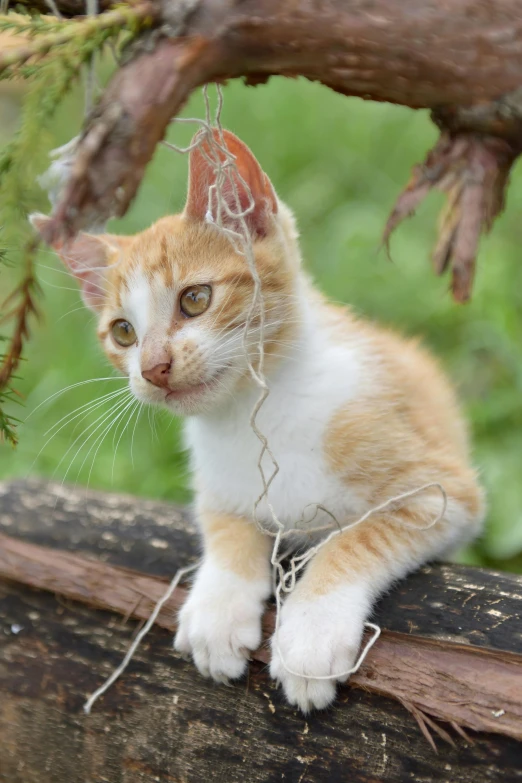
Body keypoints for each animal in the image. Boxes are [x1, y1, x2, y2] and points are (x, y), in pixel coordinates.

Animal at [31, 130, 484, 716]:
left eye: (195, 298)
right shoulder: (219, 486)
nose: (153, 369)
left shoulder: (444, 492)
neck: (256, 413)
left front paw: (311, 634)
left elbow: (356, 538)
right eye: (123, 332)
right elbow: (225, 528)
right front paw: (217, 609)